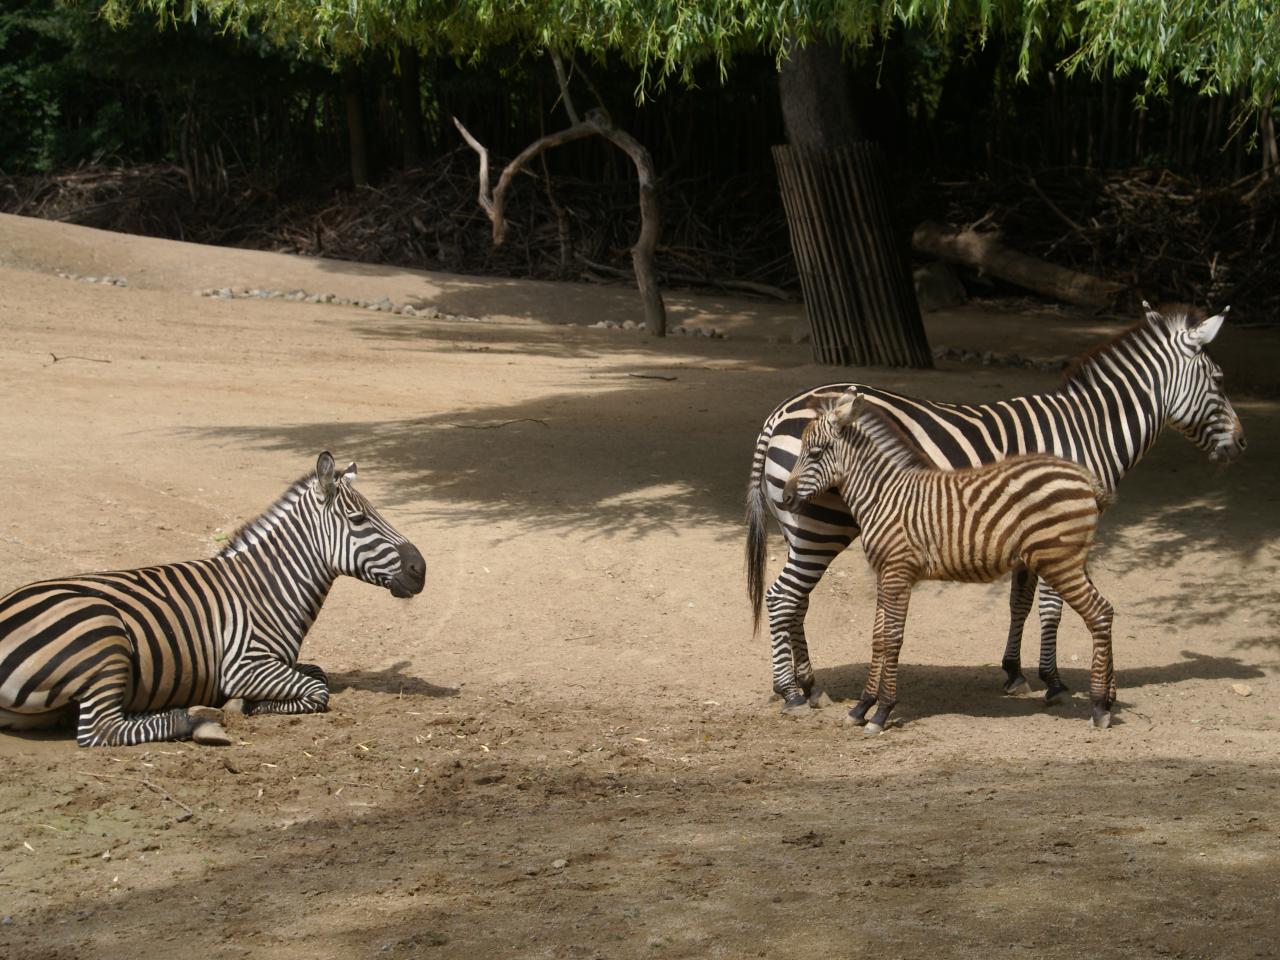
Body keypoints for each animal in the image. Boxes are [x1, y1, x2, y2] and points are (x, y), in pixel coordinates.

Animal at [0, 455, 427, 747]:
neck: (267, 588)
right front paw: (243, 705)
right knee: (100, 730)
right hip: (102, 637)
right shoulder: (244, 665)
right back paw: (197, 720)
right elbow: (316, 691)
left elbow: (318, 673)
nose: (420, 568)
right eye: (358, 520)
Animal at [778, 389, 1121, 727]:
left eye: (815, 452)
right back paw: (1106, 699)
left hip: (1059, 561)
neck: (884, 494)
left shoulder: (899, 570)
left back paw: (1098, 706)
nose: (787, 498)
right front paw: (862, 706)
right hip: (1071, 560)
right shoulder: (884, 571)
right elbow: (877, 637)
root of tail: (1085, 479)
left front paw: (883, 709)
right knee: (1106, 610)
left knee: (1099, 613)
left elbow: (892, 637)